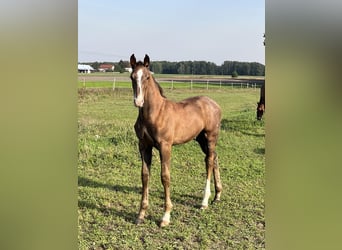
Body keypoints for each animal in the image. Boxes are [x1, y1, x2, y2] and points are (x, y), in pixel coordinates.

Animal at [130, 54, 223, 227]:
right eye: (132, 77)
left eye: (147, 77)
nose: (138, 101)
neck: (155, 113)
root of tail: (214, 104)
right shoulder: (144, 146)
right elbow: (145, 176)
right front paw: (141, 214)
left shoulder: (165, 146)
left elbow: (165, 176)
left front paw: (165, 216)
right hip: (201, 139)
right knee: (214, 158)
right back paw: (217, 196)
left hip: (211, 137)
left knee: (209, 161)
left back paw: (204, 202)